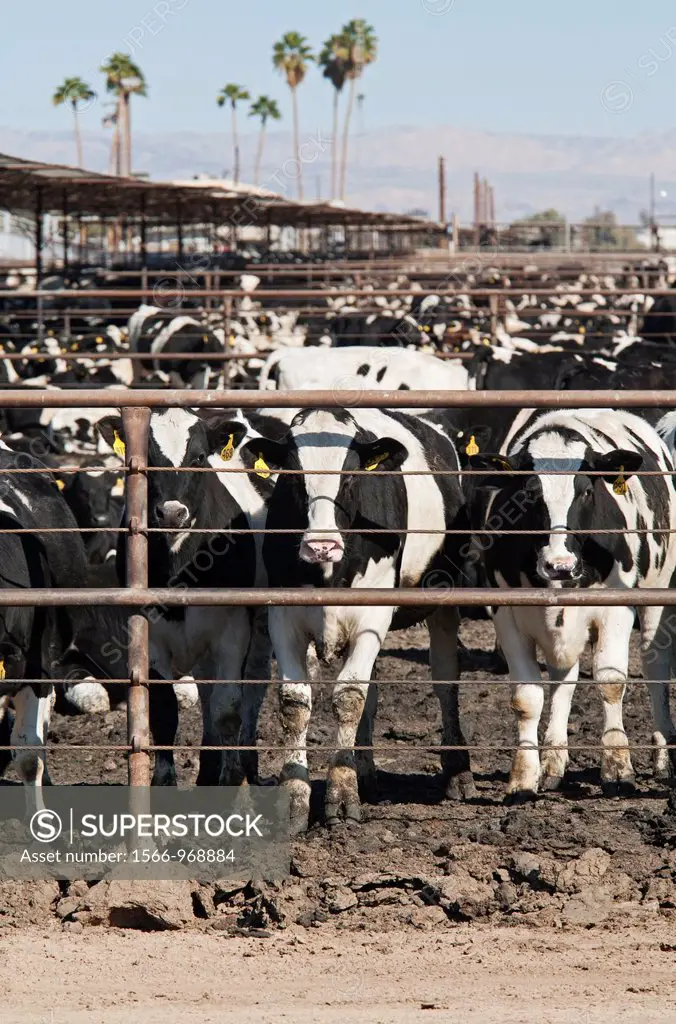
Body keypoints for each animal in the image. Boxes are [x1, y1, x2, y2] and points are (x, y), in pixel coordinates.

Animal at [240, 405, 477, 831]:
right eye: (293, 476)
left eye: (350, 476)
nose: (321, 545)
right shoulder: (283, 617)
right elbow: (295, 703)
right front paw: (296, 798)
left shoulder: (373, 615)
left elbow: (349, 696)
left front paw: (341, 796)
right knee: (374, 690)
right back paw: (365, 773)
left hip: (445, 597)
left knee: (445, 678)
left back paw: (458, 771)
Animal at [469, 407, 676, 798]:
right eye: (529, 493)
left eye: (586, 491)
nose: (560, 565)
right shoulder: (506, 615)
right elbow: (527, 696)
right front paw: (524, 777)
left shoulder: (617, 609)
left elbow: (611, 681)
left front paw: (617, 768)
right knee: (564, 679)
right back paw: (554, 763)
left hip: (657, 596)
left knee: (655, 669)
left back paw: (663, 758)